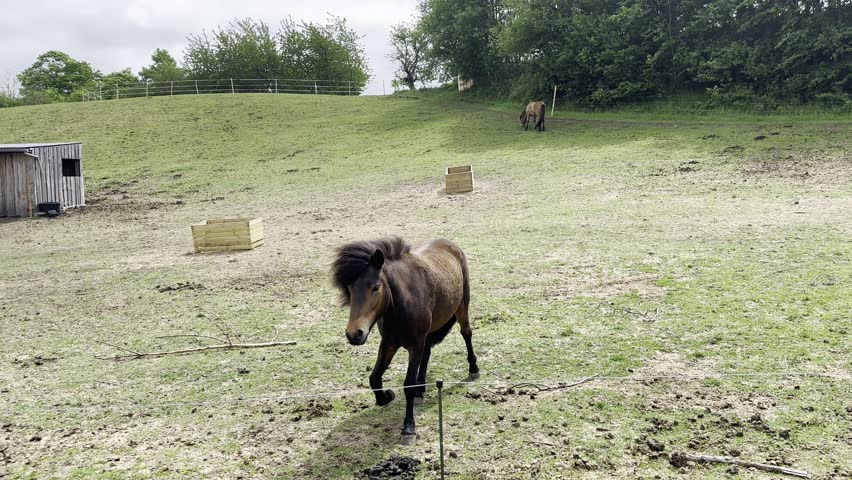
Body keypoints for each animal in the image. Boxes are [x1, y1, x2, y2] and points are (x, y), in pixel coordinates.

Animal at [331, 237, 479, 444]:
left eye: (375, 287)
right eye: (350, 289)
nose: (355, 334)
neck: (400, 304)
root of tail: (450, 244)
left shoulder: (414, 345)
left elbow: (408, 384)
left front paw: (408, 428)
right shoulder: (389, 343)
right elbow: (374, 378)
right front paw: (386, 397)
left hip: (461, 307)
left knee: (466, 333)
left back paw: (473, 368)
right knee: (428, 351)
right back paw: (421, 389)